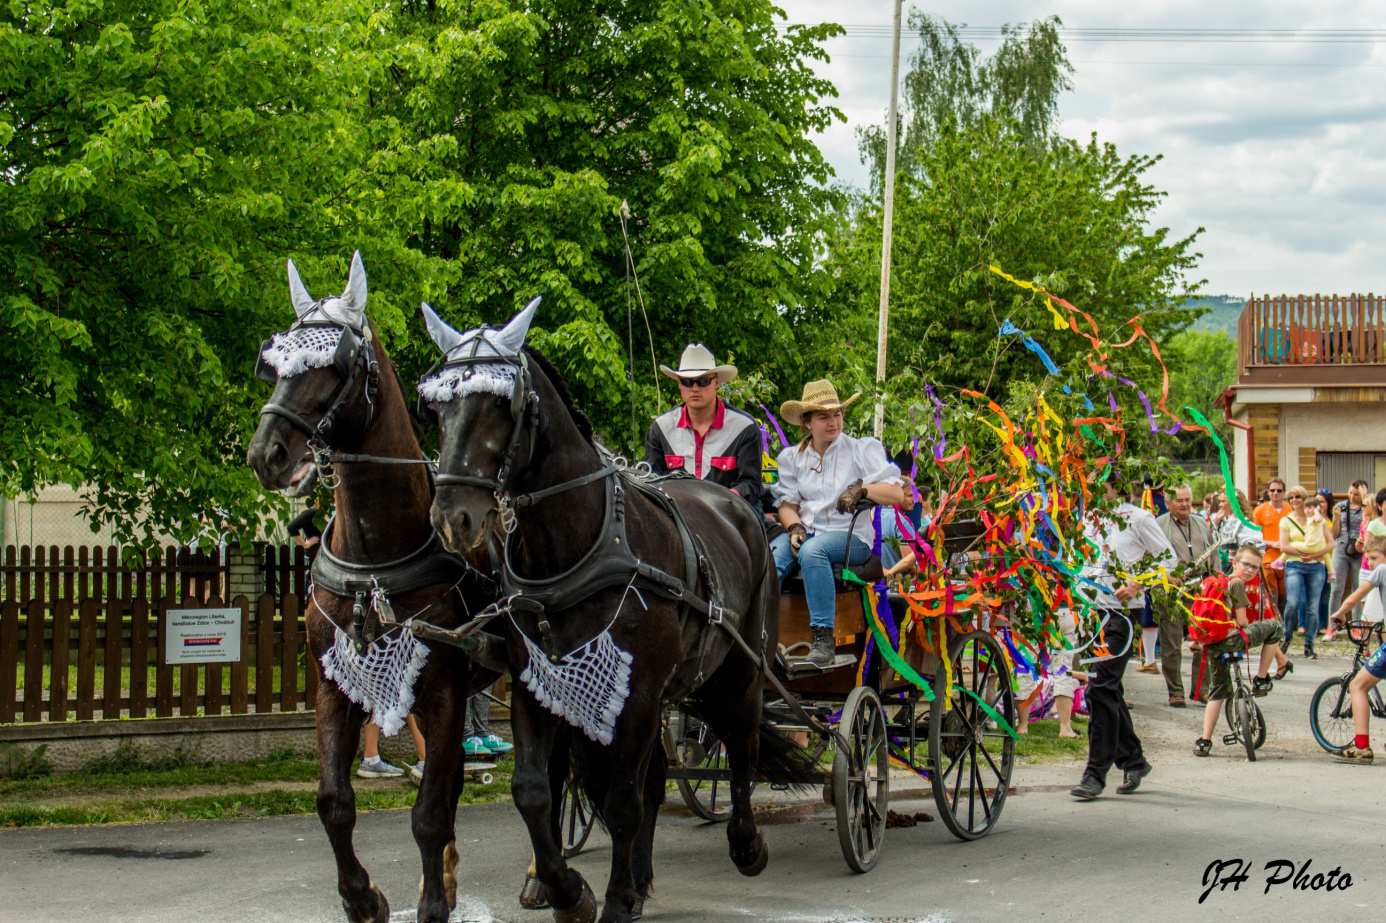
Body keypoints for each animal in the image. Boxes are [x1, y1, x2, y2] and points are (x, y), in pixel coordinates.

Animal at [248, 255, 498, 920]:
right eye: (273, 364)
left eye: (334, 365)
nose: (266, 454)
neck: (374, 561)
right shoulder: (334, 685)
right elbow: (334, 801)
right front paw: (364, 896)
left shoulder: (442, 690)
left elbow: (429, 811)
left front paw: (431, 903)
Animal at [415, 302, 814, 920]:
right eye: (437, 406)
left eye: (502, 404)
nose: (453, 517)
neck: (576, 544)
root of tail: (735, 505)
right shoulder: (536, 681)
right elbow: (534, 790)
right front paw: (568, 890)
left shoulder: (640, 691)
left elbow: (623, 800)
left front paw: (616, 898)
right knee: (659, 776)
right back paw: (642, 873)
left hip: (741, 670)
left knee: (741, 748)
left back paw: (746, 844)